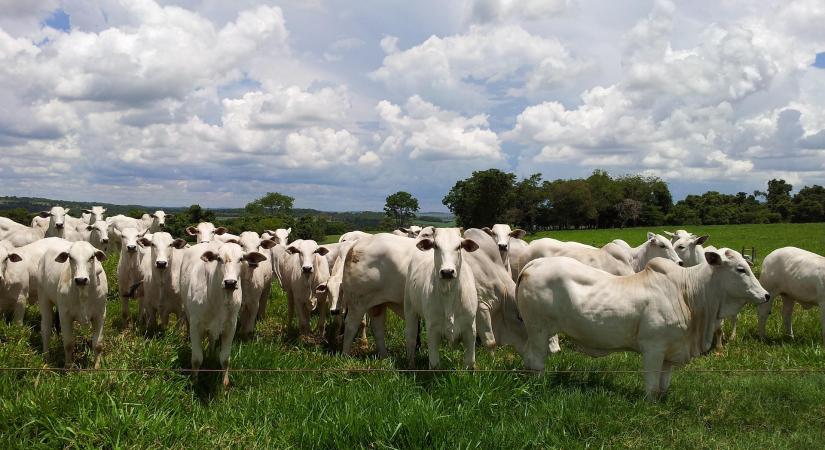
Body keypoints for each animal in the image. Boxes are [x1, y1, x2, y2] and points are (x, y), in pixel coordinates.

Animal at [404, 229, 480, 370]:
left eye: (459, 246)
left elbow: (470, 362)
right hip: (409, 309)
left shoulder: (470, 328)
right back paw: (411, 365)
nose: (447, 272)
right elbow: (434, 364)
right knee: (411, 338)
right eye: (436, 246)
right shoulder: (432, 329)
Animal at [520, 250, 768, 400]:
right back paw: (539, 387)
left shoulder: (671, 350)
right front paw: (650, 404)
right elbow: (651, 384)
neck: (688, 293)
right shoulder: (653, 348)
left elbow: (663, 384)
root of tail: (534, 263)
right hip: (538, 329)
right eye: (740, 269)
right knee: (536, 361)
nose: (765, 295)